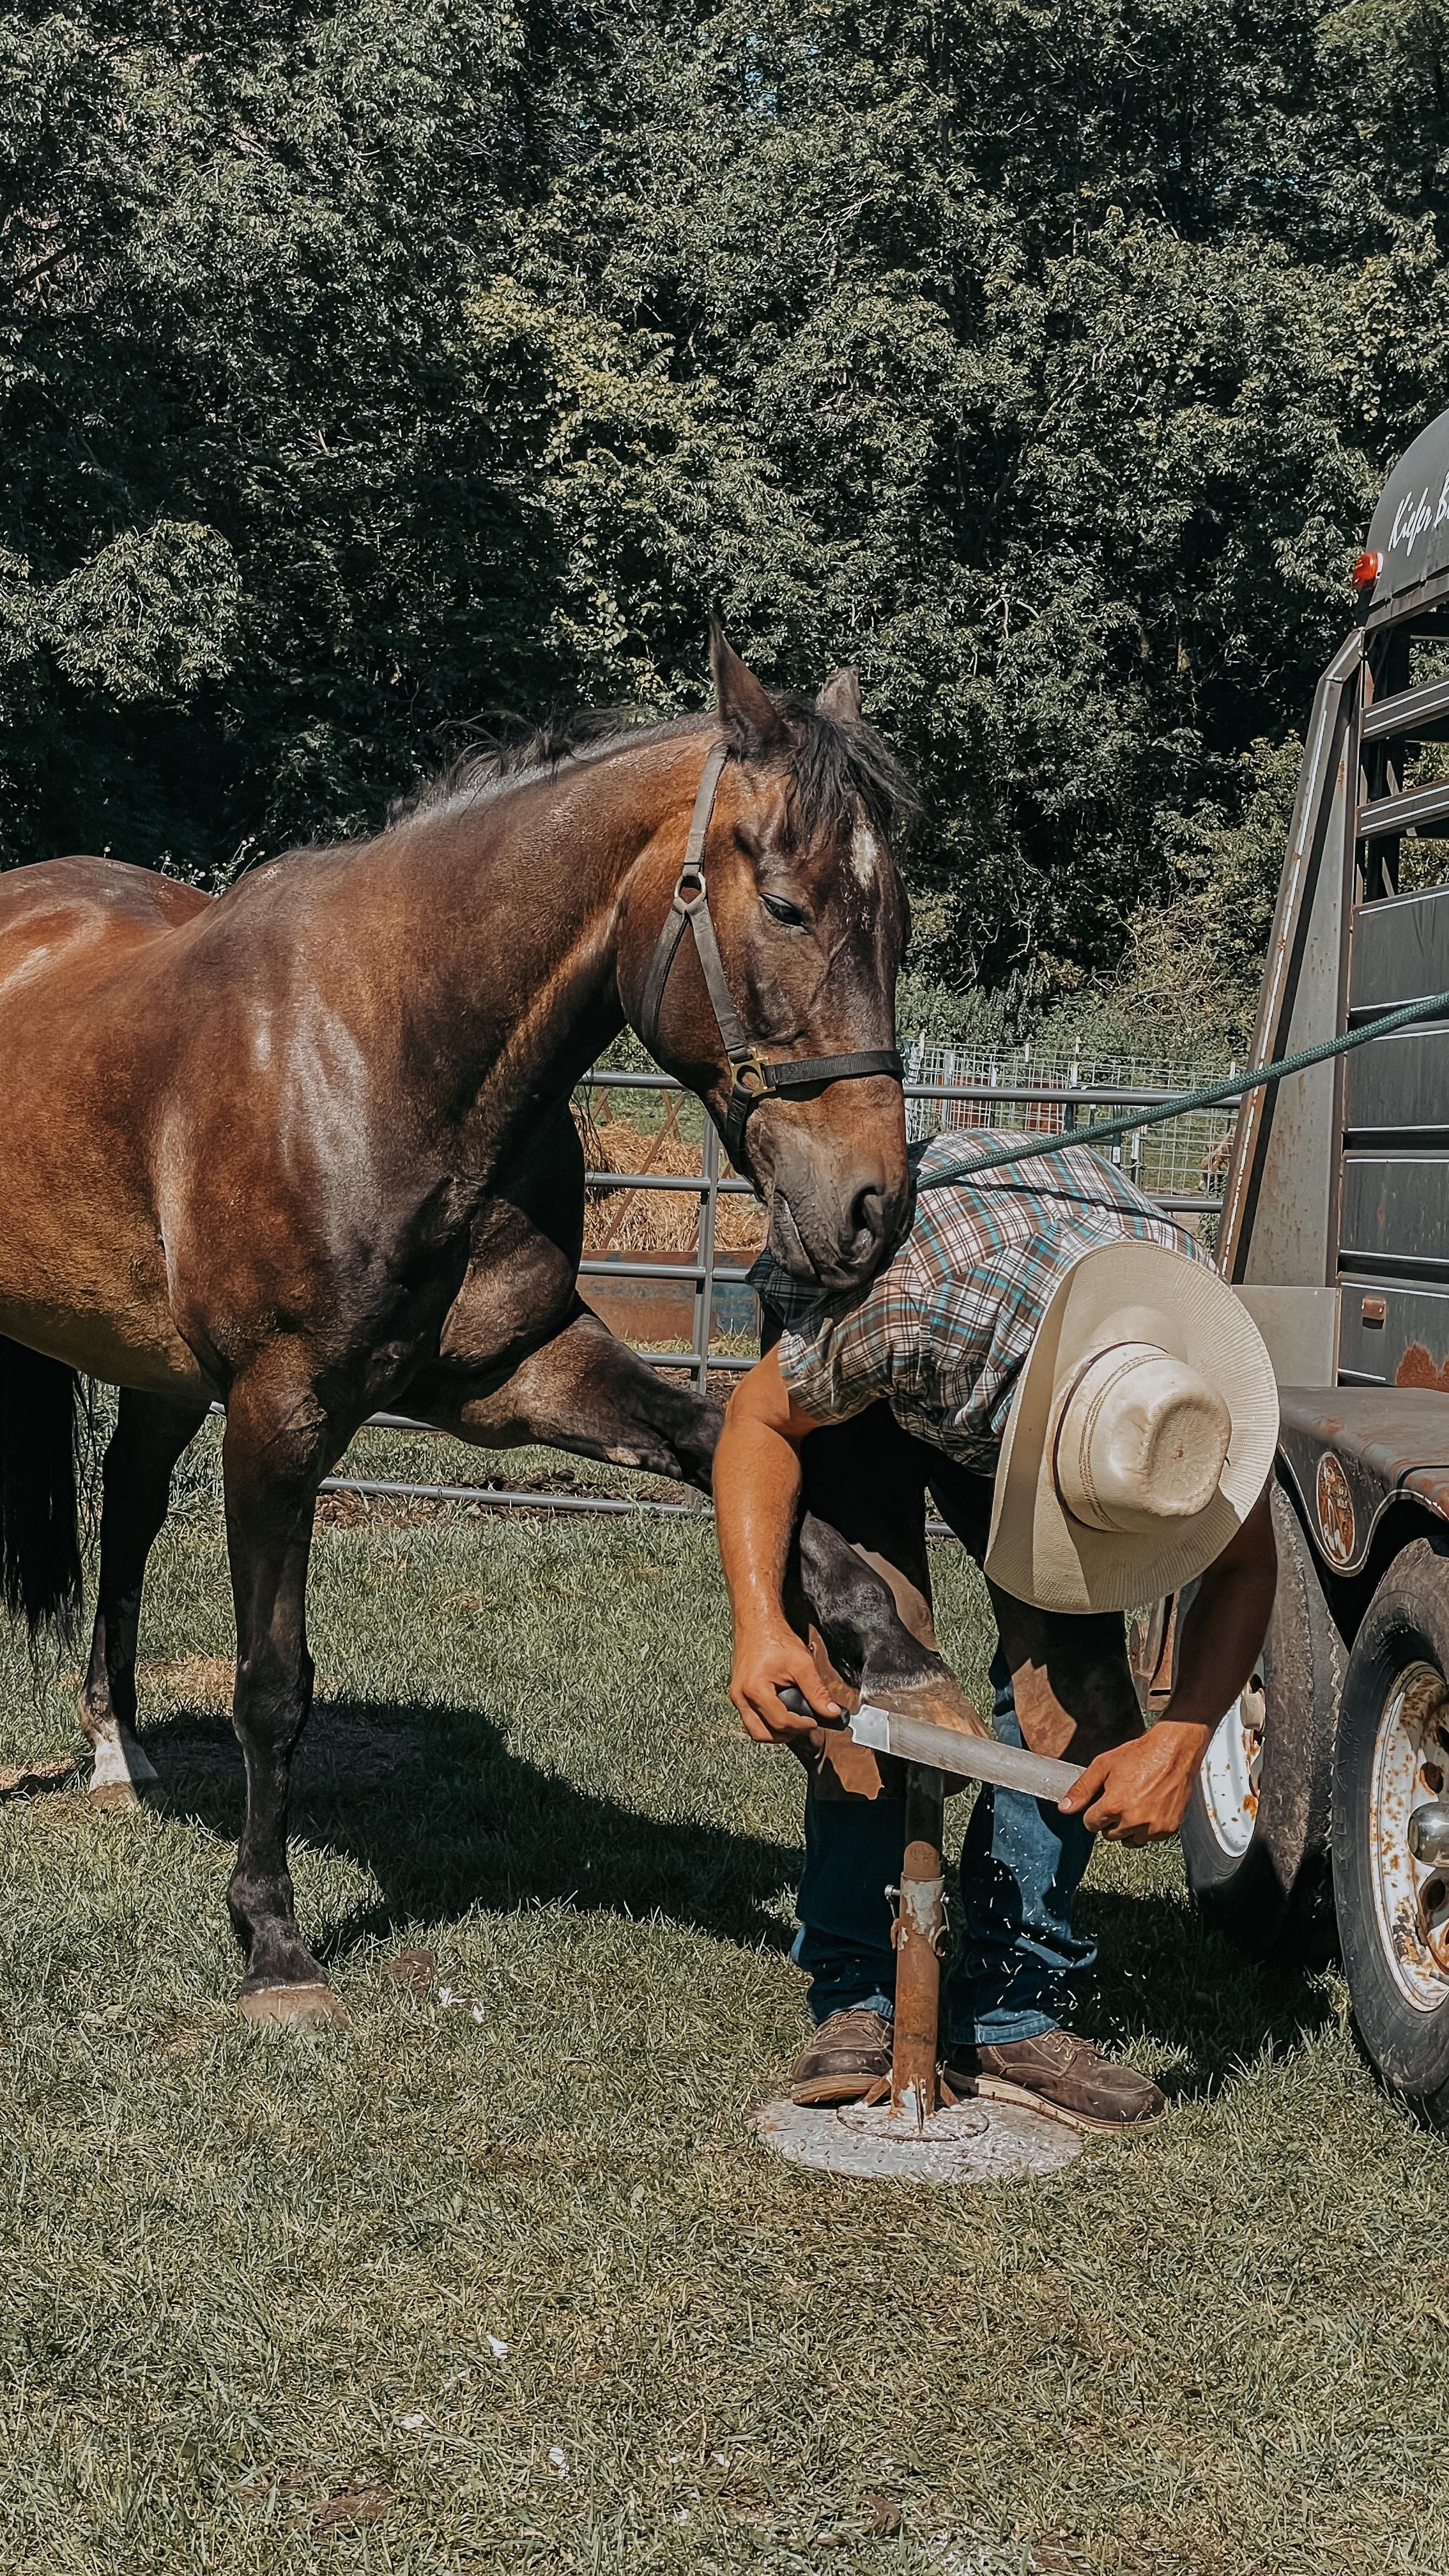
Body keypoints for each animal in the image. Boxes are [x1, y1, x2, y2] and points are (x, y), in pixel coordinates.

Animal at [0, 630, 924, 2024]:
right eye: (786, 907)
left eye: (899, 919)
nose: (870, 1207)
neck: (381, 1054)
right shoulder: (280, 1417)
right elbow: (272, 1687)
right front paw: (273, 1939)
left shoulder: (523, 1373)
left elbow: (736, 1461)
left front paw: (886, 1654)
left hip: (154, 1366)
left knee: (130, 1506)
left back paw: (116, 1746)